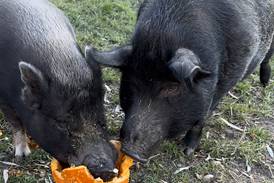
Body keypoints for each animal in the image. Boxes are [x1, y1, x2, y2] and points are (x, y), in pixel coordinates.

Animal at [0, 0, 117, 180]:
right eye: (61, 123)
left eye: (100, 119)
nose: (105, 169)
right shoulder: (4, 99)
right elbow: (16, 123)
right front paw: (22, 155)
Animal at [86, 0, 274, 163]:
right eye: (131, 85)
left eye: (172, 88)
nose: (129, 150)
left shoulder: (225, 82)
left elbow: (203, 116)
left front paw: (186, 151)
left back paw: (264, 83)